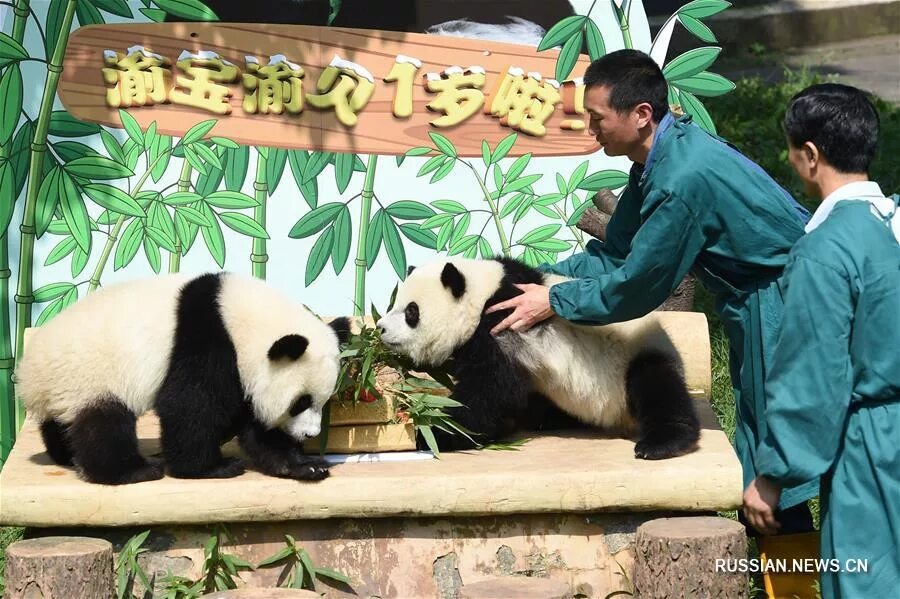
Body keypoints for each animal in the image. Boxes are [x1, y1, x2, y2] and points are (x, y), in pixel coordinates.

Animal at [18, 274, 348, 486]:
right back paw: (133, 471)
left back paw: (64, 454)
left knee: (63, 424)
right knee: (104, 425)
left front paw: (304, 465)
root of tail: (28, 376)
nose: (308, 434)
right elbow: (190, 404)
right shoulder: (205, 339)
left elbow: (256, 425)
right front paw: (212, 467)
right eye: (300, 402)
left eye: (321, 402)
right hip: (90, 376)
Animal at [376, 256, 700, 460]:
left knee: (656, 385)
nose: (380, 328)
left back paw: (662, 443)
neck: (482, 293)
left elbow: (491, 389)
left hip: (633, 358)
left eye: (411, 312)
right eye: (394, 304)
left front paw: (434, 432)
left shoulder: (503, 323)